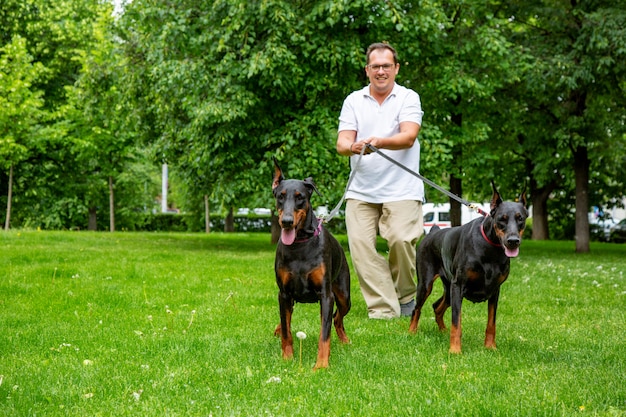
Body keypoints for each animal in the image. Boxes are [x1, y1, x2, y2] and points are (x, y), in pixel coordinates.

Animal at [270, 158, 348, 368]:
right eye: (280, 196)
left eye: (300, 197)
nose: (287, 221)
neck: (299, 245)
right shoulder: (284, 294)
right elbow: (287, 330)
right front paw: (287, 358)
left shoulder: (326, 295)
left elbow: (324, 334)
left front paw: (321, 365)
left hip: (344, 296)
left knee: (336, 318)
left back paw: (345, 340)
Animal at [408, 182, 524, 352]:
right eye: (501, 219)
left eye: (520, 218)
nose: (513, 241)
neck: (491, 249)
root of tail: (431, 232)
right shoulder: (458, 286)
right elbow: (456, 322)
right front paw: (455, 350)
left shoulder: (495, 290)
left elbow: (491, 322)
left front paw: (490, 347)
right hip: (427, 283)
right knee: (417, 308)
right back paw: (412, 332)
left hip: (448, 287)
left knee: (437, 306)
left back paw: (443, 331)